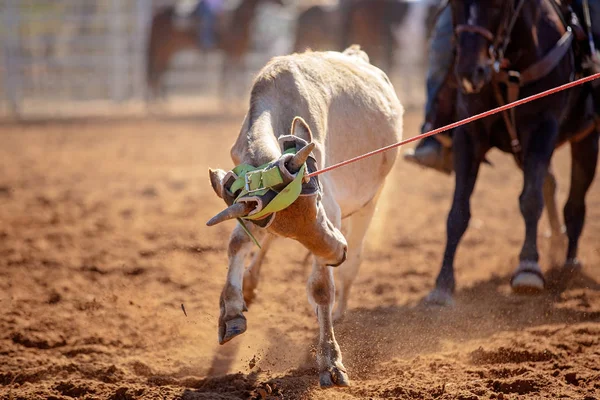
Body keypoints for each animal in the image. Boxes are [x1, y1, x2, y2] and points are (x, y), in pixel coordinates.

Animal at [147, 0, 284, 101]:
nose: (284, 4)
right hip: (163, 49)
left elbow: (231, 74)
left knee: (160, 72)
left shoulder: (237, 52)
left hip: (168, 50)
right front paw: (229, 100)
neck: (237, 20)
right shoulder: (232, 52)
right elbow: (230, 74)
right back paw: (156, 102)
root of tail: (157, 14)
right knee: (157, 72)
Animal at [207, 47, 404, 388]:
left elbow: (322, 287)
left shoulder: (335, 213)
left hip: (370, 201)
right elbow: (238, 242)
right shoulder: (251, 209)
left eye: (318, 200)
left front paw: (330, 361)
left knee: (353, 262)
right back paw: (251, 284)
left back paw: (337, 309)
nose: (338, 252)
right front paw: (232, 311)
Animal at [426, 0, 596, 306]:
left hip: (586, 137)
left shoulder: (542, 128)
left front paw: (528, 268)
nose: (470, 73)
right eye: (454, 4)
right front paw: (442, 284)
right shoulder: (469, 135)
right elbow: (458, 211)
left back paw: (569, 266)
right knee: (552, 186)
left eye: (497, 4)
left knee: (574, 205)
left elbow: (530, 199)